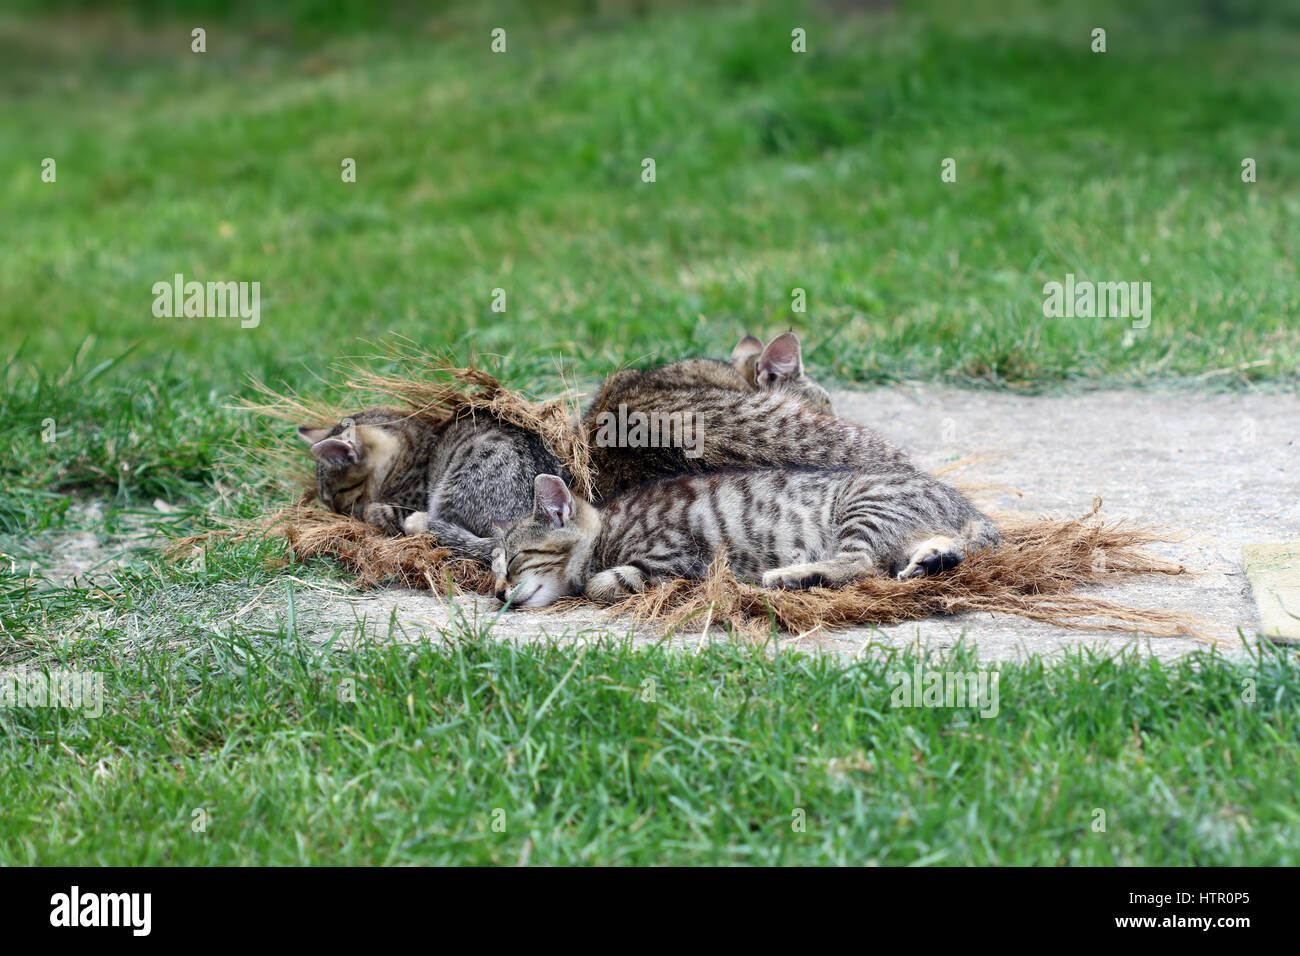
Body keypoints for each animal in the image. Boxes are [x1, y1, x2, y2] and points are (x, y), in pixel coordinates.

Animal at [491, 468, 998, 608]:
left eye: (514, 562)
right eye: (493, 570)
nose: (497, 592)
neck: (608, 528)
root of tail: (969, 508)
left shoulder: (679, 557)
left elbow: (603, 583)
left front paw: (598, 582)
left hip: (865, 506)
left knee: (863, 563)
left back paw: (794, 576)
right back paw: (931, 561)